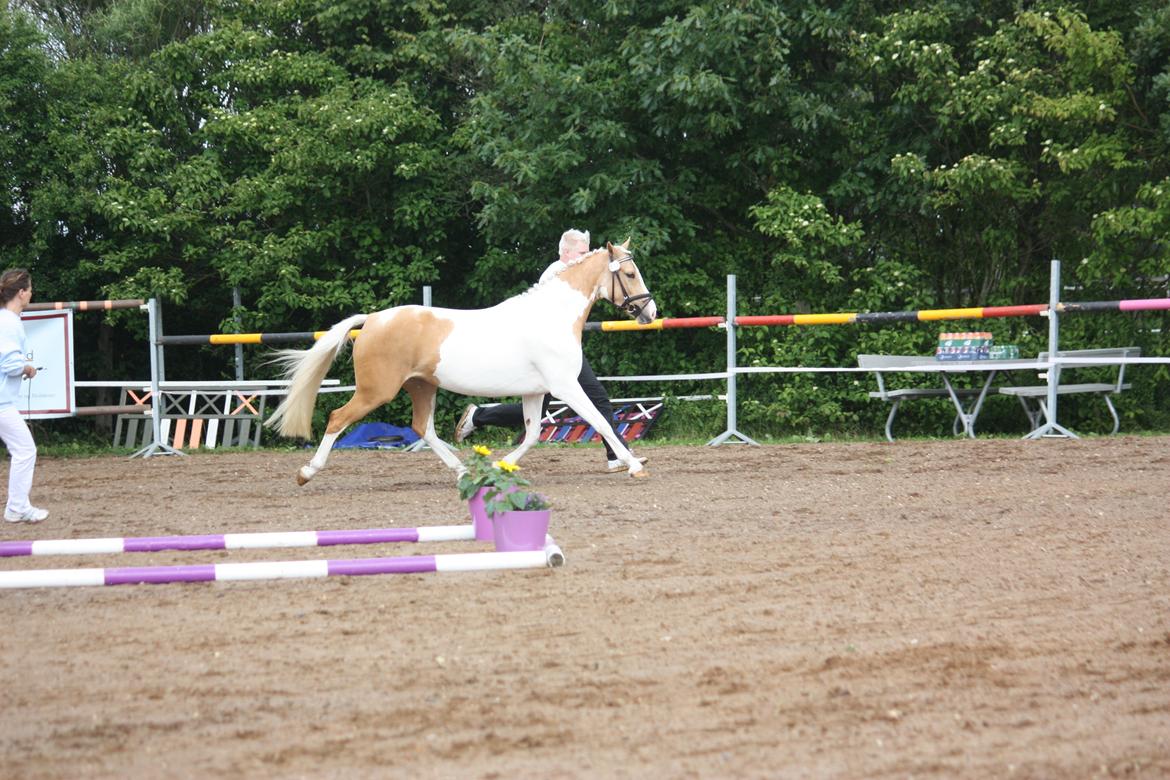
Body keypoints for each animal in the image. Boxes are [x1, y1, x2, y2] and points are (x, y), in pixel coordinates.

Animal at [266, 239, 664, 481]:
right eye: (630, 274)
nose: (651, 311)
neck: (550, 316)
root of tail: (374, 319)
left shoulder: (536, 392)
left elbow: (534, 432)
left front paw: (501, 464)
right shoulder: (566, 387)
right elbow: (601, 421)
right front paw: (633, 466)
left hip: (421, 387)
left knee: (422, 428)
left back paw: (462, 470)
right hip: (376, 391)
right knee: (338, 418)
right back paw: (307, 472)